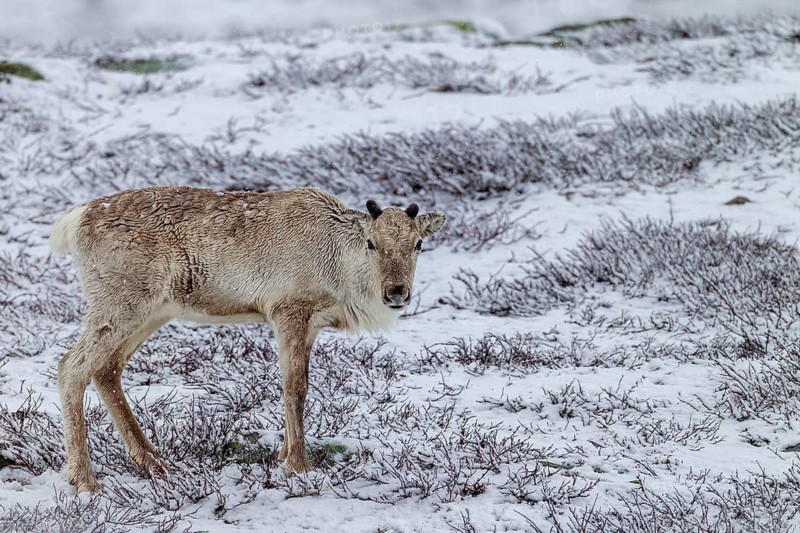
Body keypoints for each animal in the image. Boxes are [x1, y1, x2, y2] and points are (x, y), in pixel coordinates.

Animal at [50, 186, 446, 493]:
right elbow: (295, 387)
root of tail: (75, 220)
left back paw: (154, 462)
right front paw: (299, 464)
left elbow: (298, 384)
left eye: (418, 244)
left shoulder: (312, 324)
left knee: (106, 369)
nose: (396, 293)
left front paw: (284, 454)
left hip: (152, 311)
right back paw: (85, 480)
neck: (340, 268)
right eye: (371, 243)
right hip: (119, 303)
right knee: (72, 365)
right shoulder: (288, 309)